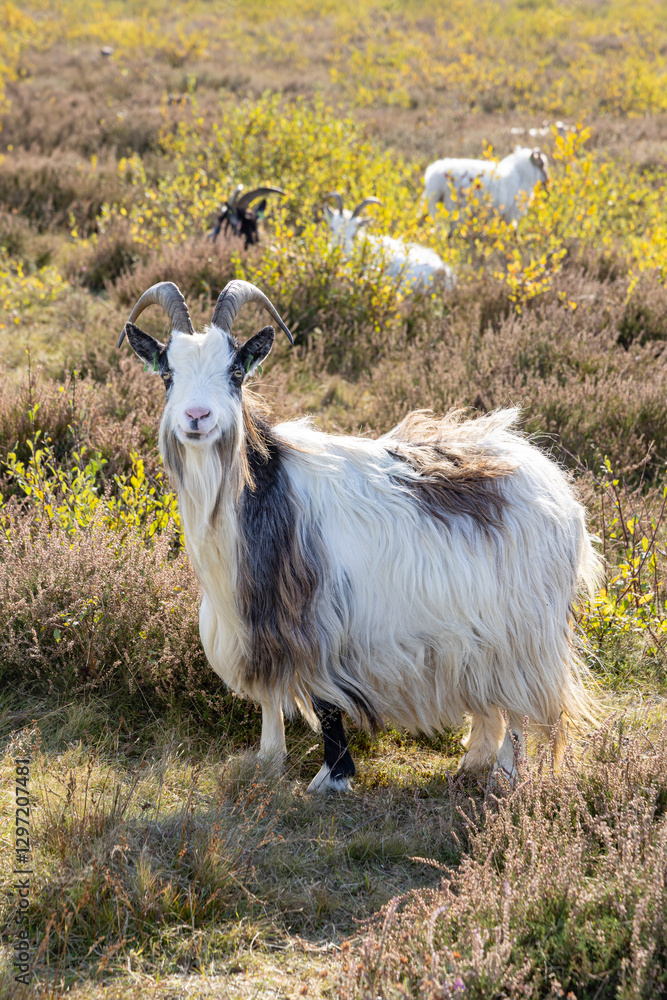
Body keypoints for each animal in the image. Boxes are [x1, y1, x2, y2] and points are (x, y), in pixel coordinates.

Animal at [118, 279, 600, 792]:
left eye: (236, 371)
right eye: (167, 373)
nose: (197, 416)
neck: (262, 491)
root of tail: (558, 487)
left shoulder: (317, 618)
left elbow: (326, 703)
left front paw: (333, 776)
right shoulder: (260, 622)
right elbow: (271, 696)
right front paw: (268, 762)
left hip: (525, 630)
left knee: (521, 706)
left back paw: (505, 776)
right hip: (482, 635)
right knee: (493, 700)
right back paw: (474, 761)